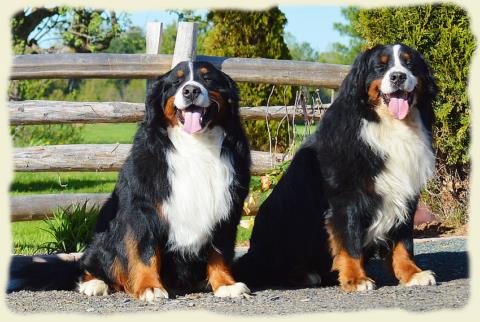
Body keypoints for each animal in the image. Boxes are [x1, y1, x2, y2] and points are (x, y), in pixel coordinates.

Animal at [8, 61, 251, 302]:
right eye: (177, 81)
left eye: (208, 79)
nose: (191, 90)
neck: (195, 145)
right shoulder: (143, 209)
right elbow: (145, 252)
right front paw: (150, 287)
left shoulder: (225, 207)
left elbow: (219, 251)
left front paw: (226, 284)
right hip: (105, 237)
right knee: (91, 266)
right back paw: (95, 284)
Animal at [232, 43, 438, 292]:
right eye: (380, 66)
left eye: (409, 63)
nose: (398, 76)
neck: (388, 125)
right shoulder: (347, 197)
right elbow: (350, 240)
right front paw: (356, 279)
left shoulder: (405, 194)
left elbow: (403, 241)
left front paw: (412, 274)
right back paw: (304, 275)